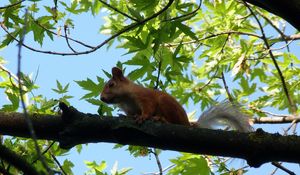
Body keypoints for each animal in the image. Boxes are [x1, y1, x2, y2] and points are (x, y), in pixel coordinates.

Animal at [101, 67, 253, 133]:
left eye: (111, 84)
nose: (101, 98)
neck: (124, 100)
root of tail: (187, 123)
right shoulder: (128, 109)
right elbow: (129, 114)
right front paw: (125, 116)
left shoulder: (145, 97)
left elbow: (148, 108)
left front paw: (143, 117)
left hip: (167, 105)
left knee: (174, 122)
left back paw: (161, 119)